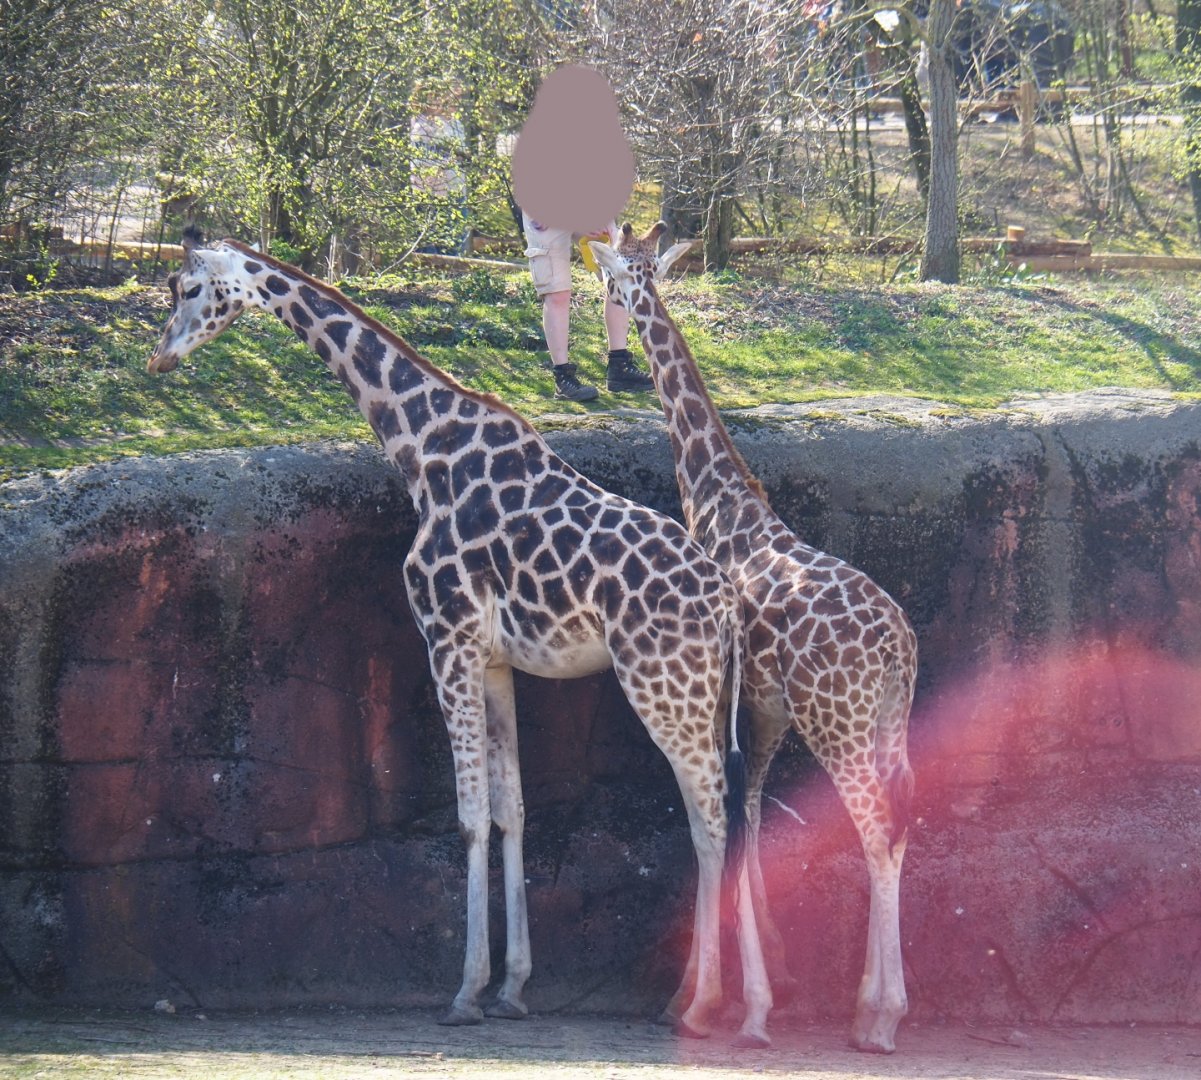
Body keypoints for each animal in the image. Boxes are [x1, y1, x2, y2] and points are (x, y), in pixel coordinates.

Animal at [147, 229, 774, 1047]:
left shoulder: (445, 638)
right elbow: (512, 812)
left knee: (712, 817)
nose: (159, 358)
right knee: (729, 812)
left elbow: (470, 815)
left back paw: (703, 1005)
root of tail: (725, 603)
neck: (419, 446)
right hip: (704, 694)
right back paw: (734, 1004)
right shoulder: (496, 659)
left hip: (664, 685)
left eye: (188, 288)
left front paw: (465, 991)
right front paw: (511, 987)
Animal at [591, 224, 918, 1054]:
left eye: (613, 278)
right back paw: (869, 1005)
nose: (610, 308)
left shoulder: (731, 698)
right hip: (884, 720)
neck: (718, 500)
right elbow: (757, 811)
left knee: (874, 827)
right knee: (900, 820)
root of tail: (899, 649)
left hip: (836, 721)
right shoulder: (766, 708)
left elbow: (725, 819)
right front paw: (770, 973)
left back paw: (879, 1018)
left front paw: (721, 1000)